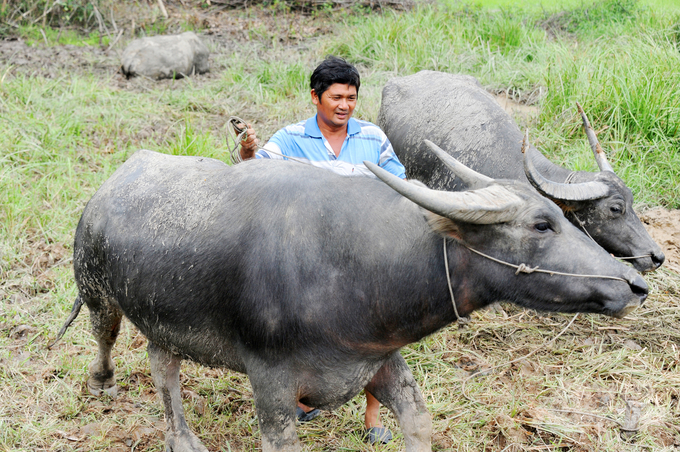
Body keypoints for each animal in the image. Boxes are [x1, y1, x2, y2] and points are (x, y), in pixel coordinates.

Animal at [55, 149, 644, 452]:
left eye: (565, 216)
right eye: (542, 225)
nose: (634, 284)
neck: (352, 262)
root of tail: (108, 189)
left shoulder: (378, 360)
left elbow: (418, 421)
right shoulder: (271, 384)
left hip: (165, 320)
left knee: (163, 366)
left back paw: (182, 438)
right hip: (97, 290)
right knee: (106, 339)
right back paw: (103, 383)